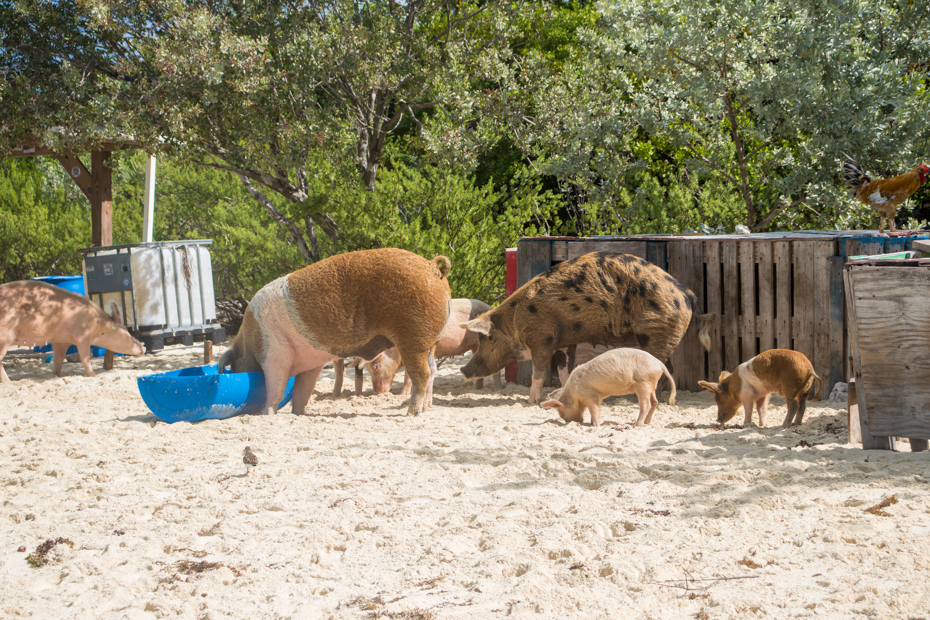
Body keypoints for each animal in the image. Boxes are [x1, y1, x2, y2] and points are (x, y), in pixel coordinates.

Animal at [0, 280, 145, 381]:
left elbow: (58, 359)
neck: (99, 323)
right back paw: (10, 382)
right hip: (5, 336)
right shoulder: (82, 336)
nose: (143, 348)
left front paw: (56, 375)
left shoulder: (60, 341)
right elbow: (85, 359)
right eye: (126, 331)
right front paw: (93, 376)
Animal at [218, 248, 452, 416]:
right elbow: (302, 390)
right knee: (432, 370)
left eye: (233, 366)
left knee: (421, 374)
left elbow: (275, 384)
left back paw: (411, 413)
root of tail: (433, 266)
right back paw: (425, 408)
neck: (250, 340)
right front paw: (297, 414)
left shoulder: (275, 352)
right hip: (432, 342)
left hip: (414, 338)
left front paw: (266, 414)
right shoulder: (311, 363)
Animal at [357, 298, 504, 394]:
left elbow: (408, 376)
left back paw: (497, 390)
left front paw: (402, 395)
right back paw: (476, 389)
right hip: (475, 345)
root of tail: (491, 308)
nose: (377, 393)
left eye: (375, 366)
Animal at [460, 251, 715, 403]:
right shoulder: (564, 342)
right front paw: (558, 393)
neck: (515, 322)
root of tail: (686, 293)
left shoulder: (541, 338)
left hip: (656, 335)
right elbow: (564, 369)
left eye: (485, 339)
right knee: (668, 368)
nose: (463, 369)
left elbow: (538, 371)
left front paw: (533, 401)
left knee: (662, 368)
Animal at [540, 348, 676, 427]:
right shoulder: (596, 397)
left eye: (561, 413)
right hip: (651, 384)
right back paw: (647, 422)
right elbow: (596, 409)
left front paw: (595, 426)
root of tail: (659, 363)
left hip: (643, 382)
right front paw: (591, 423)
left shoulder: (590, 395)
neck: (574, 394)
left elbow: (594, 409)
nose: (572, 422)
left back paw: (636, 424)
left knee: (646, 405)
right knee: (655, 402)